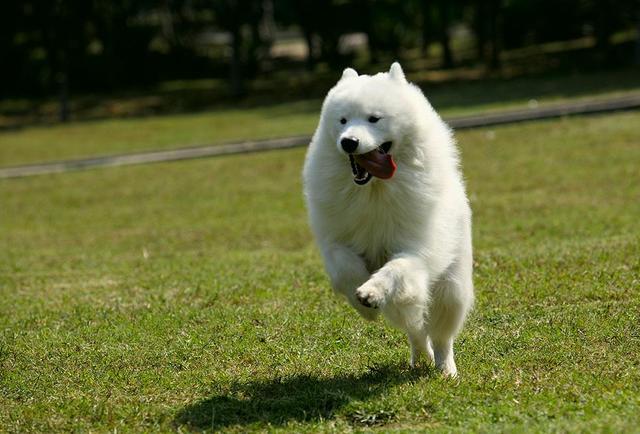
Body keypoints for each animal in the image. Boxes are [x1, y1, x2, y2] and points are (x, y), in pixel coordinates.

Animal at [302, 62, 472, 376]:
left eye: (374, 119)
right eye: (342, 121)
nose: (348, 142)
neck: (375, 190)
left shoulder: (415, 251)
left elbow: (394, 270)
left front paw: (371, 292)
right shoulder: (336, 241)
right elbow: (344, 268)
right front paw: (364, 305)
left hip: (451, 289)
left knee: (441, 335)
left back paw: (445, 369)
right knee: (416, 331)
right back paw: (421, 358)